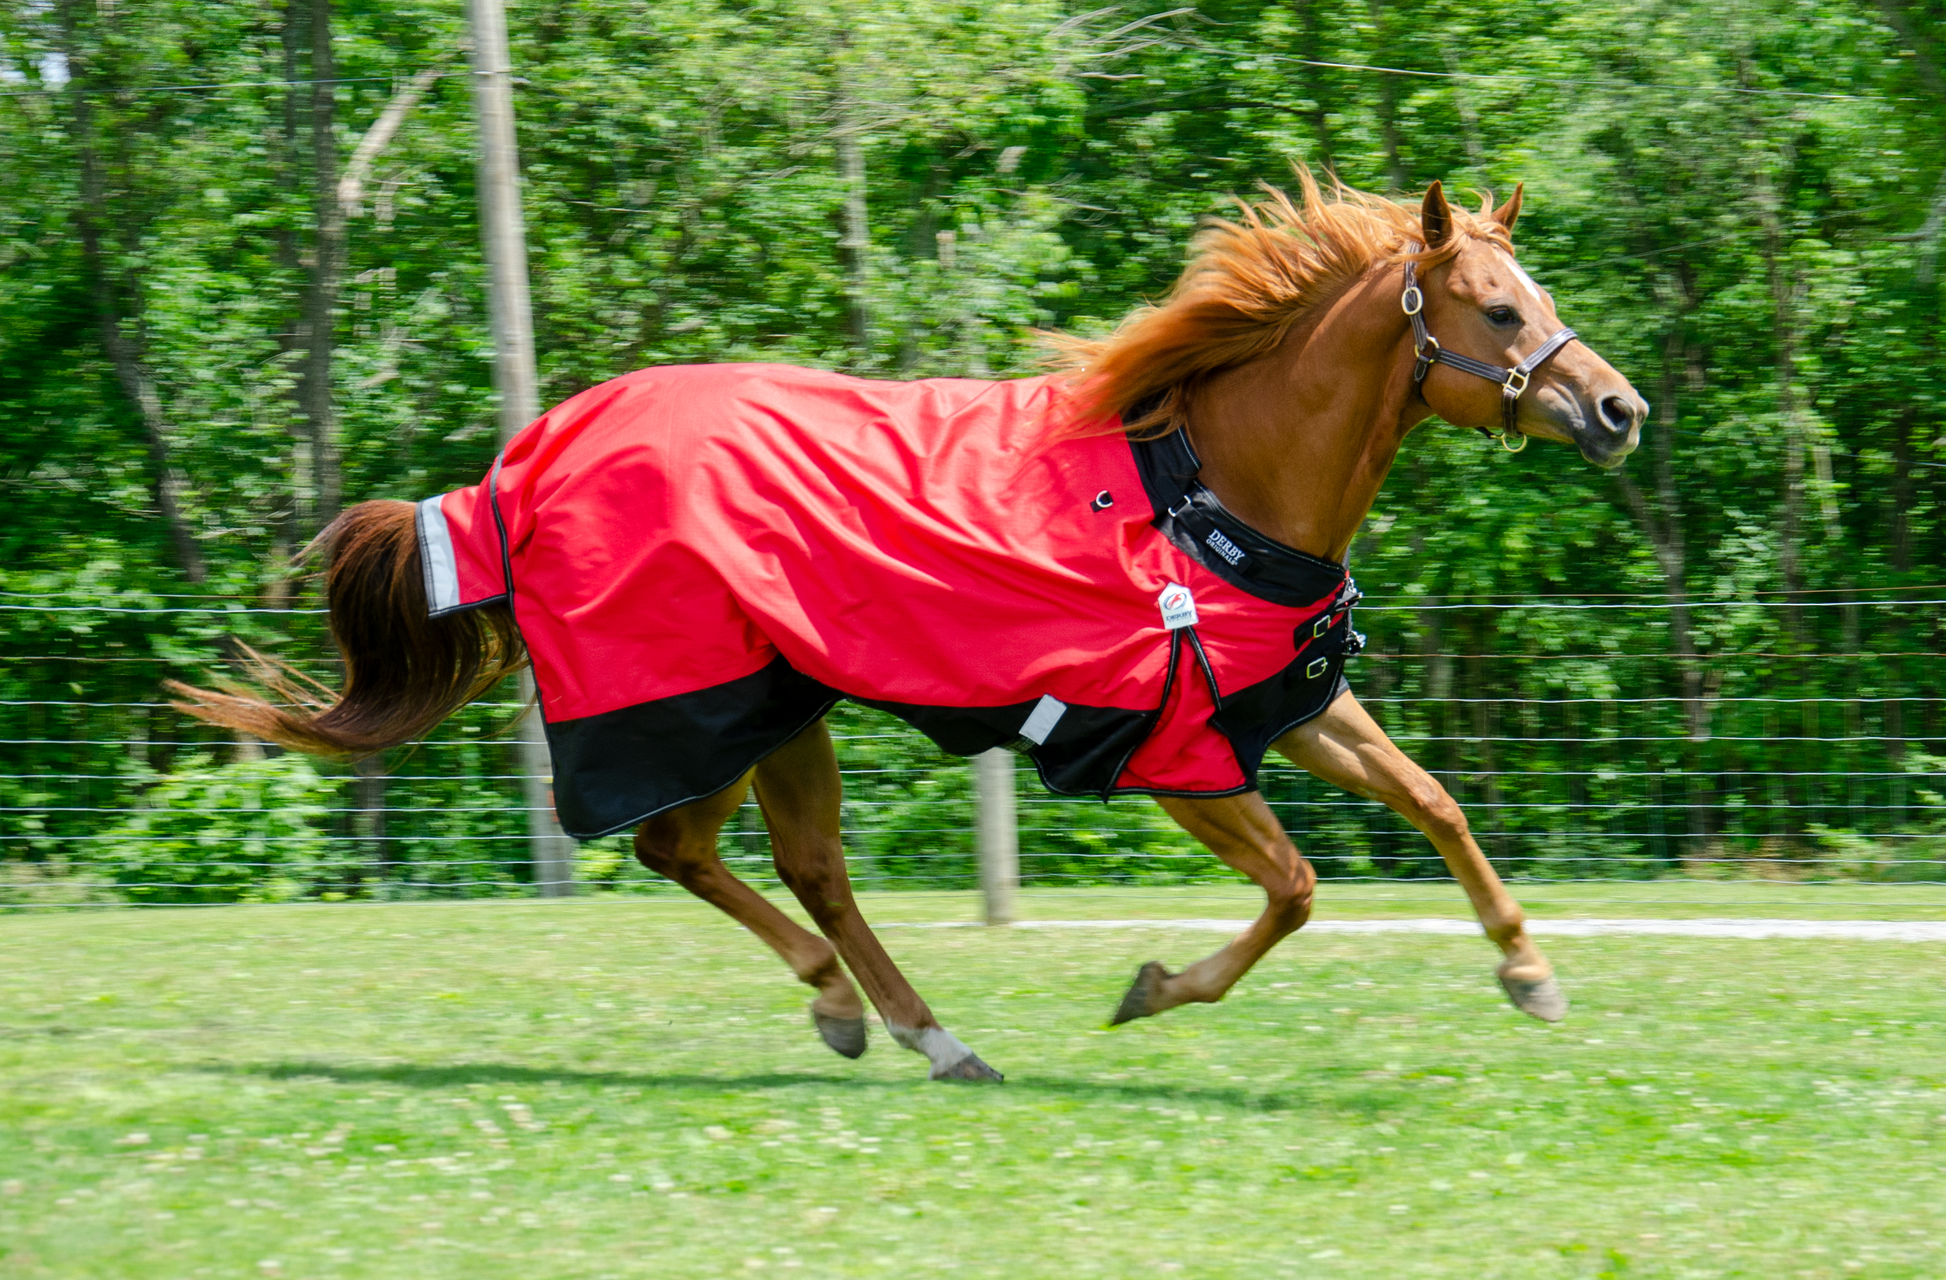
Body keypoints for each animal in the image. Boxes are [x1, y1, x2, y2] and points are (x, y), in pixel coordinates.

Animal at [179, 177, 1642, 1073]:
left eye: (1539, 295)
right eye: (1498, 308)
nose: (1617, 409)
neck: (1205, 494)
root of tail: (517, 475)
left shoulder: (1289, 707)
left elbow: (1434, 801)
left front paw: (1528, 972)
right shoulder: (1176, 758)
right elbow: (1292, 888)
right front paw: (1152, 989)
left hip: (782, 707)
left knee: (780, 863)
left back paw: (908, 1028)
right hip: (708, 707)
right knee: (687, 848)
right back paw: (861, 1010)